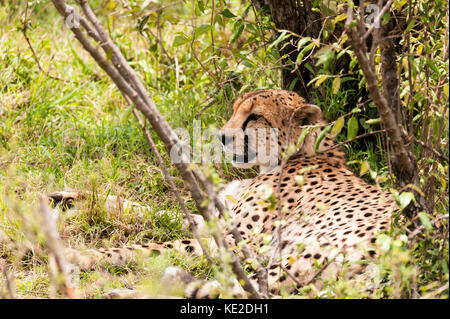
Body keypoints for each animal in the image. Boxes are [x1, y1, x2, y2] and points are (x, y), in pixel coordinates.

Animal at [47, 89, 396, 298]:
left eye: (255, 117)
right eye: (235, 110)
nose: (222, 137)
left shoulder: (236, 242)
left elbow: (152, 247)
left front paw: (79, 255)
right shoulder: (218, 220)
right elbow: (156, 210)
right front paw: (69, 198)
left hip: (296, 258)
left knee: (233, 292)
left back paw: (124, 293)